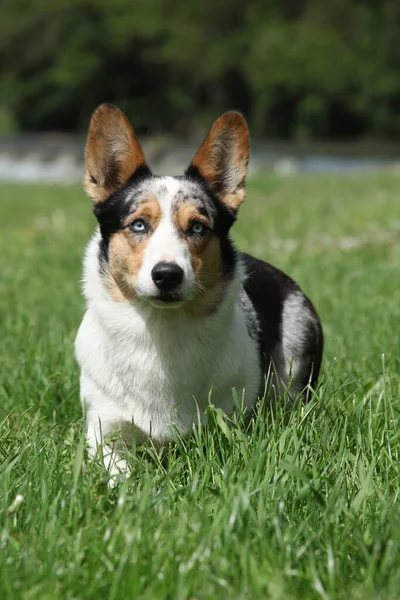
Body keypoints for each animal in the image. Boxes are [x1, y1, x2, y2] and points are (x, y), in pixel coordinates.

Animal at [75, 103, 324, 478]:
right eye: (138, 224)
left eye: (197, 227)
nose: (167, 275)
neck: (162, 332)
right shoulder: (104, 431)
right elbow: (119, 470)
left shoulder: (229, 423)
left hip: (297, 349)